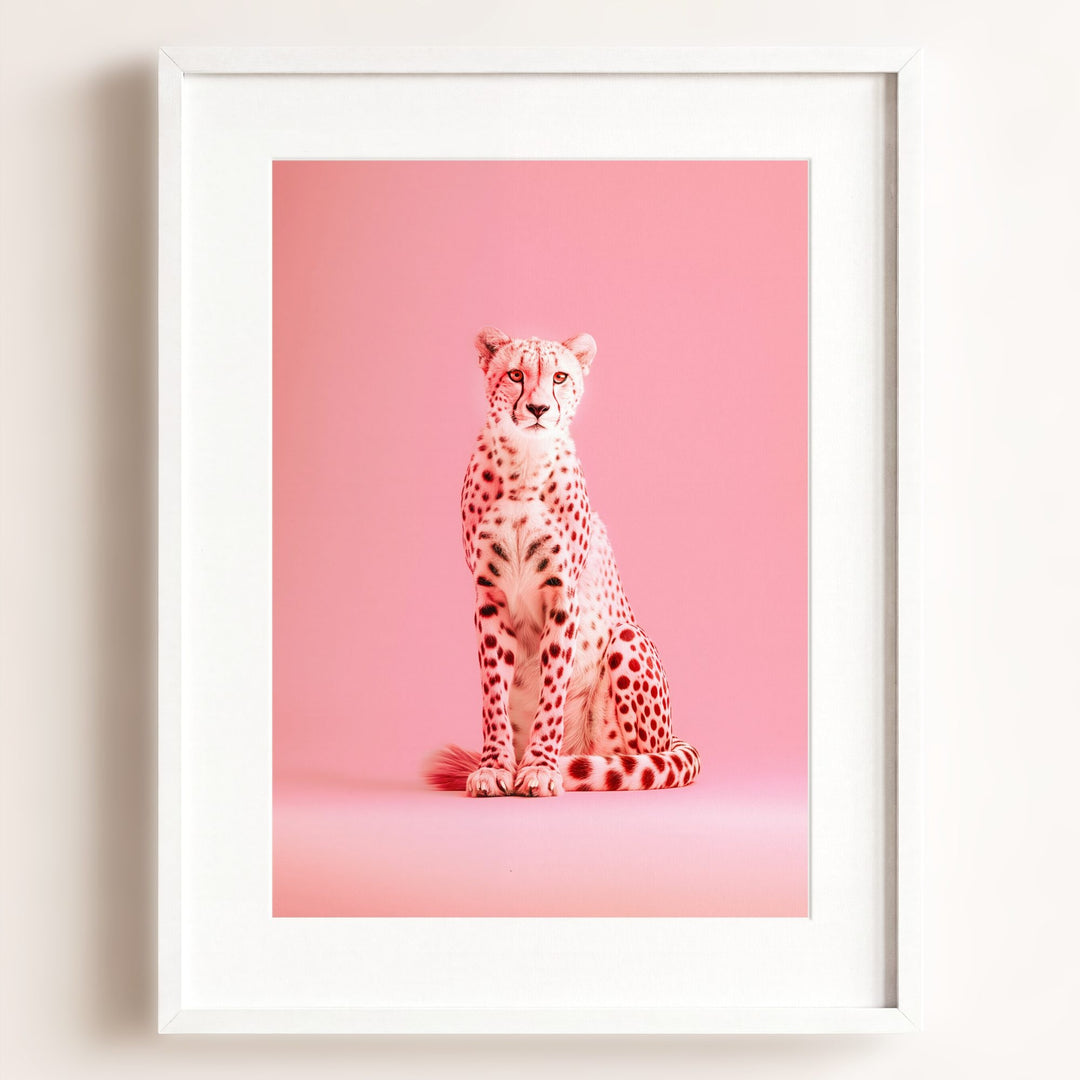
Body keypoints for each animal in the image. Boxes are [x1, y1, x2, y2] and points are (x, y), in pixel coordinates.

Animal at [424, 327, 701, 797]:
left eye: (559, 376)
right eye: (516, 374)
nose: (538, 408)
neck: (524, 463)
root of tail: (671, 735)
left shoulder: (562, 594)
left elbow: (553, 688)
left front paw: (539, 767)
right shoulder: (488, 595)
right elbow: (493, 692)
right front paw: (496, 767)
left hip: (627, 641)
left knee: (643, 759)